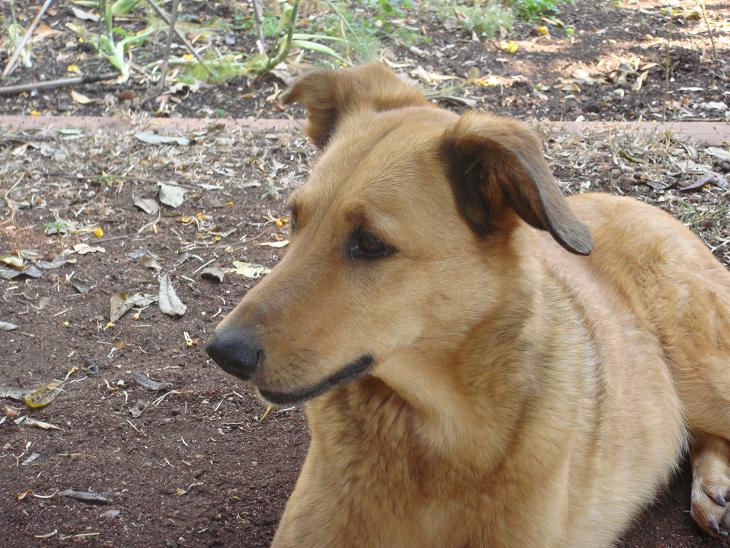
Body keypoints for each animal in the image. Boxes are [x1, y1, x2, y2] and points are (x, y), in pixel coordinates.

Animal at [203, 63, 728, 544]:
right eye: (295, 219)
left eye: (370, 243)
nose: (222, 353)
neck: (425, 428)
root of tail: (652, 209)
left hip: (703, 375)